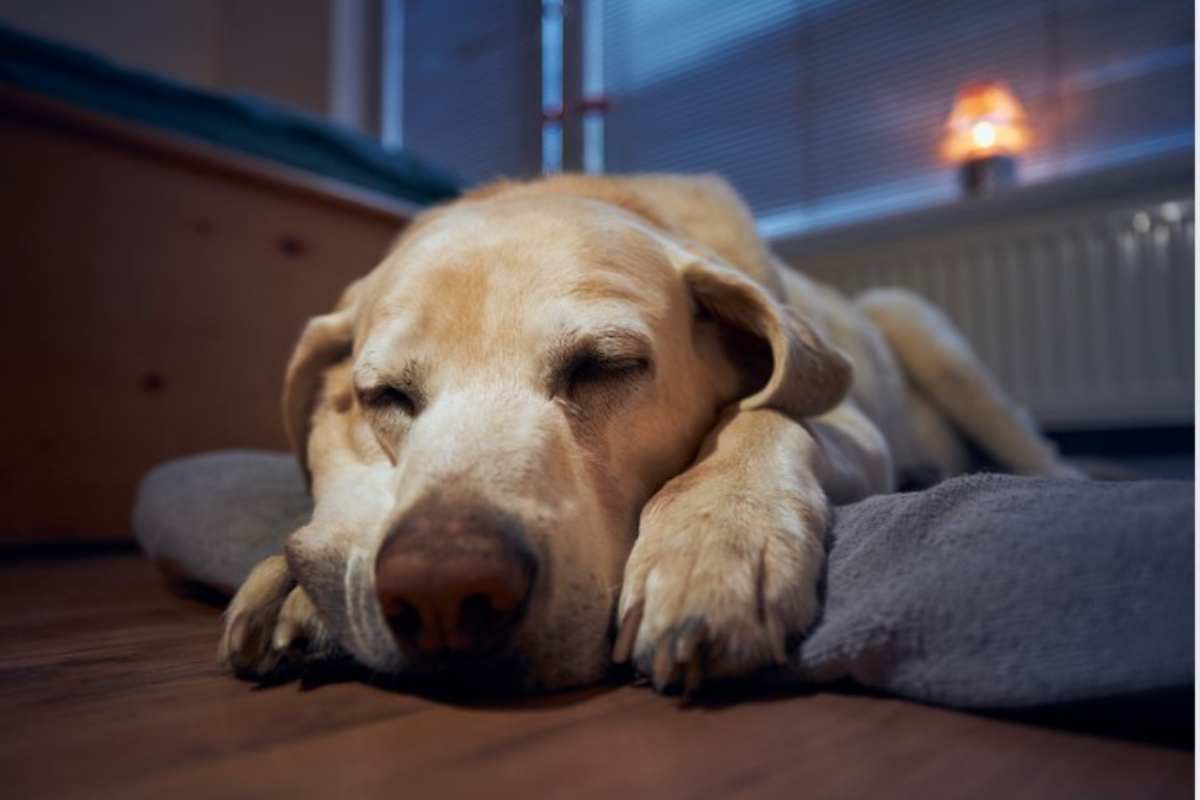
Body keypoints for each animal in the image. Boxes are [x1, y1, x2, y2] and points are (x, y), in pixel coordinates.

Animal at [218, 175, 1080, 695]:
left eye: (605, 367)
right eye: (384, 396)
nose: (442, 596)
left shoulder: (851, 422)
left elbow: (762, 412)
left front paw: (713, 542)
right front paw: (291, 582)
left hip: (923, 329)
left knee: (1045, 455)